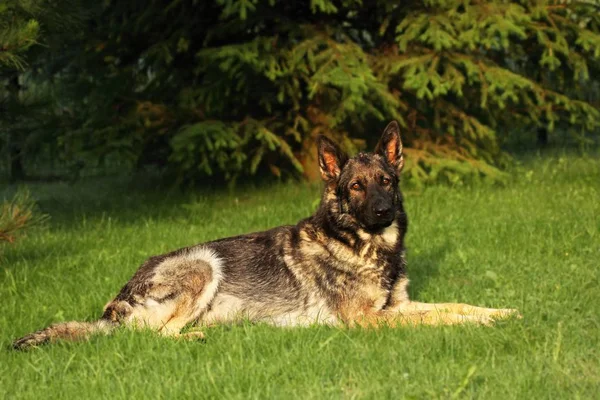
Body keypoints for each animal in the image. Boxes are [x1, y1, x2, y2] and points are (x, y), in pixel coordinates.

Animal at [12, 122, 520, 350]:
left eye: (386, 181)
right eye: (356, 187)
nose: (383, 211)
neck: (365, 245)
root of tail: (115, 302)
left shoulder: (398, 306)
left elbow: (456, 305)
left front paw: (501, 313)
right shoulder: (370, 321)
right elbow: (439, 319)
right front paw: (479, 325)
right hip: (203, 262)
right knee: (154, 336)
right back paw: (199, 338)